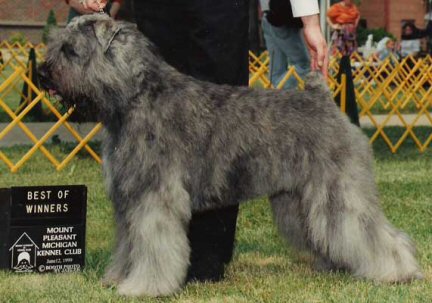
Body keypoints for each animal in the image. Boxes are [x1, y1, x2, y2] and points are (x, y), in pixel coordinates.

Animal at [38, 14, 422, 296]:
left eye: (71, 49)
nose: (42, 72)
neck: (135, 97)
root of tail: (322, 97)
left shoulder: (153, 200)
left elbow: (152, 247)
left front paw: (144, 287)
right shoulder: (129, 201)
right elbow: (128, 246)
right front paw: (118, 278)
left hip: (339, 192)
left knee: (375, 234)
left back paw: (397, 271)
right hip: (299, 200)